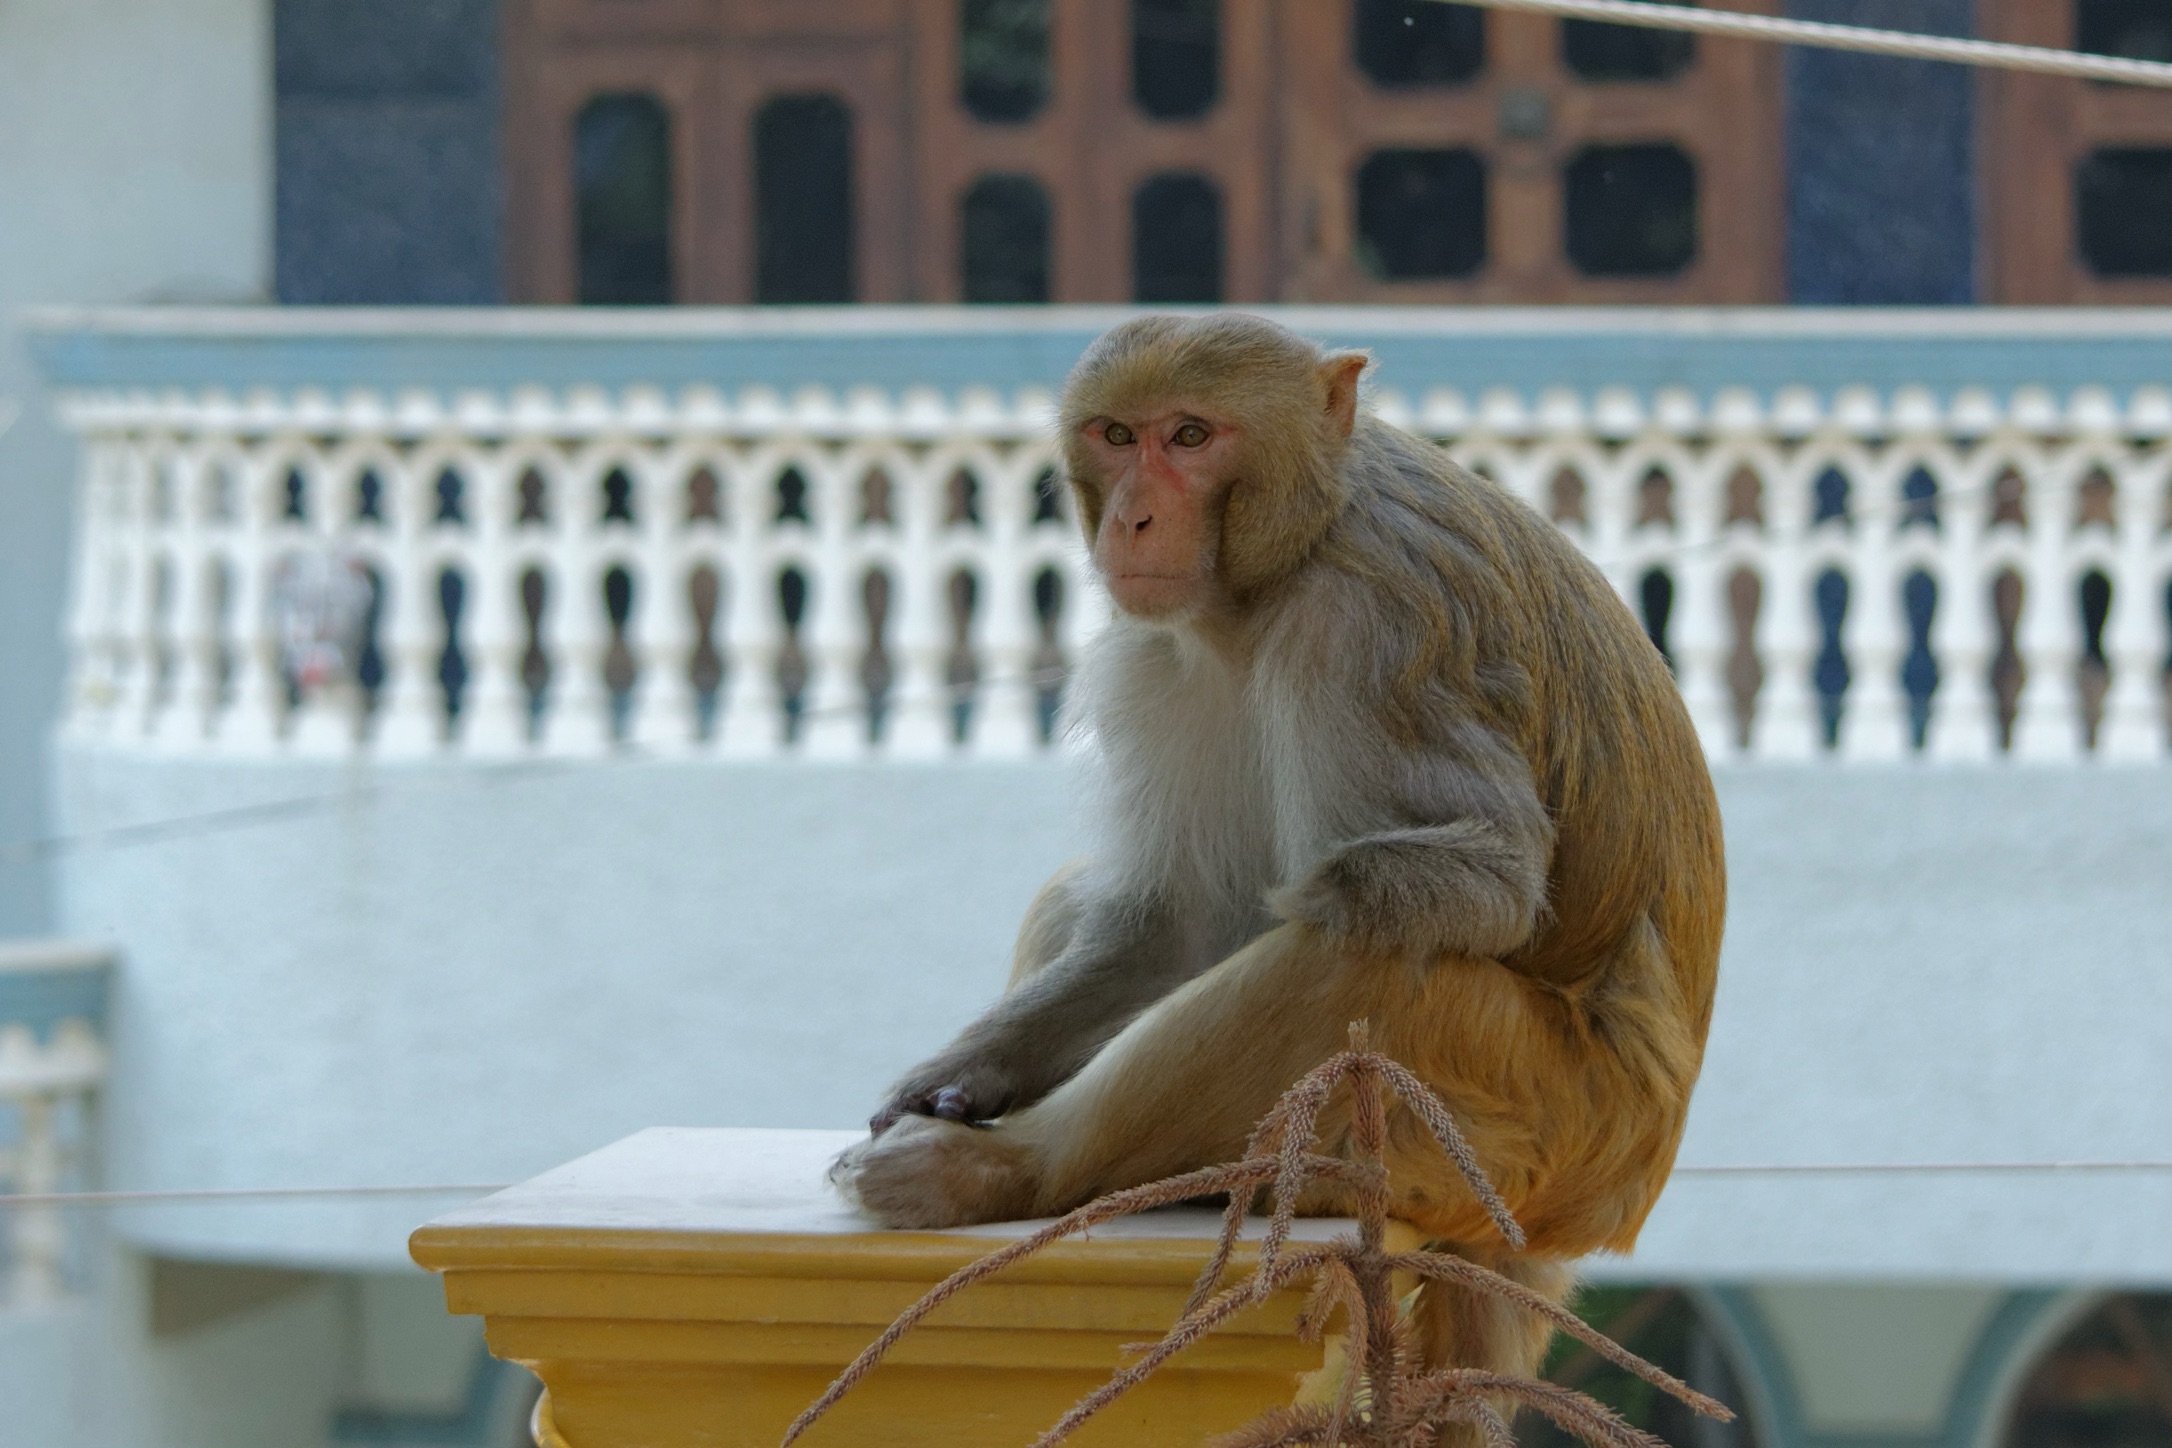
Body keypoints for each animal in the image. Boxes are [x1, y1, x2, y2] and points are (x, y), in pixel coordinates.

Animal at [831, 312, 1725, 1405]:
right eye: (1118, 436)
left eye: (1190, 436)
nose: (1132, 519)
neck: (1279, 564)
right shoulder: (1159, 653)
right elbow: (1169, 926)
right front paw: (965, 1072)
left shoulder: (1369, 626)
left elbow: (1482, 883)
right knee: (1097, 898)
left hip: (1539, 1138)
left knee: (1364, 952)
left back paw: (1017, 1170)